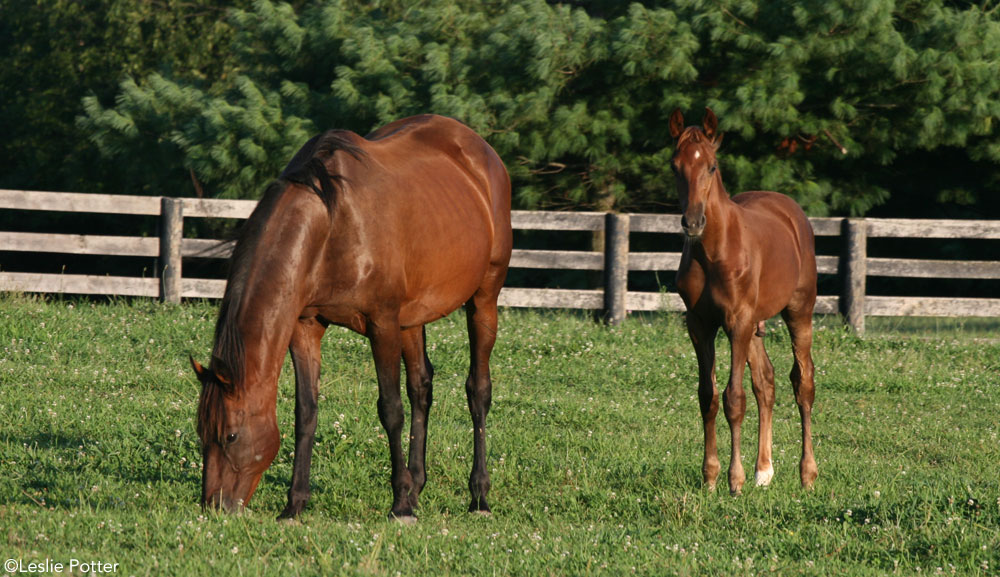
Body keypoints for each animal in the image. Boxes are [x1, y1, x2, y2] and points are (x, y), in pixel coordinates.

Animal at [191, 115, 512, 520]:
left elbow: (390, 409)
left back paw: (477, 495)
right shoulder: (305, 327)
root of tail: (481, 150)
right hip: (413, 318)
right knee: (421, 387)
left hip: (484, 297)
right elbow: (306, 411)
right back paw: (417, 487)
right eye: (201, 433)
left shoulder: (382, 323)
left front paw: (399, 505)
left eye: (230, 435)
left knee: (478, 391)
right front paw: (294, 505)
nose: (214, 506)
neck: (331, 225)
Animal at [668, 108, 816, 496]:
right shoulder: (700, 325)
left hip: (797, 312)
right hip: (754, 326)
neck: (714, 251)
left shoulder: (736, 321)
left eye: (712, 166)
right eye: (675, 166)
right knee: (766, 382)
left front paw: (734, 481)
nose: (692, 222)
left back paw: (807, 474)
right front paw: (710, 476)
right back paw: (764, 471)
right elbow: (708, 395)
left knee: (803, 383)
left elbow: (734, 399)